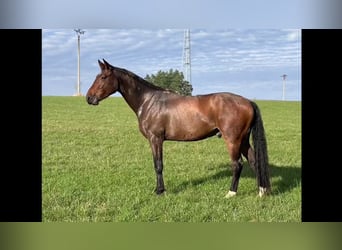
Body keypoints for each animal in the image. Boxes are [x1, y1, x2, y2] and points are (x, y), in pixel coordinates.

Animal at [85, 59, 270, 197]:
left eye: (103, 77)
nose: (89, 98)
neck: (148, 101)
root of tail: (248, 102)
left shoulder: (156, 139)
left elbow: (158, 165)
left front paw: (160, 191)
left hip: (233, 140)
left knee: (237, 164)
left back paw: (231, 193)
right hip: (243, 140)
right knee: (254, 161)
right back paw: (262, 191)